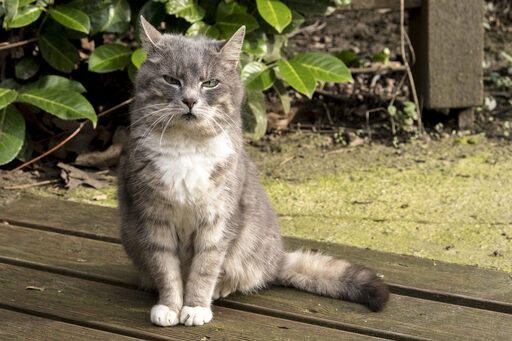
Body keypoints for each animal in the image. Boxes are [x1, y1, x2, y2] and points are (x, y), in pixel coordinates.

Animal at [117, 16, 388, 326]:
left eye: (210, 82)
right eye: (171, 80)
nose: (190, 101)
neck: (187, 147)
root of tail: (277, 258)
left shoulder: (219, 219)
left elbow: (205, 267)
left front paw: (195, 306)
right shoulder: (154, 218)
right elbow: (165, 268)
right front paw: (170, 306)